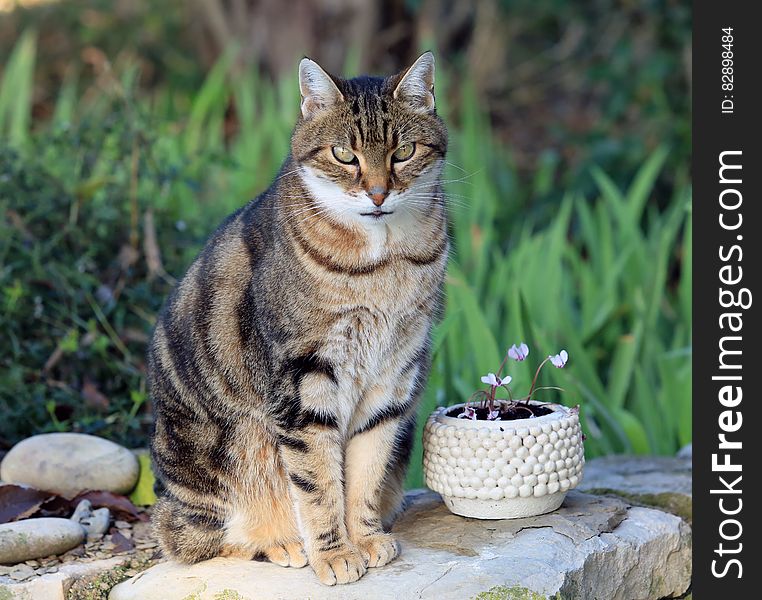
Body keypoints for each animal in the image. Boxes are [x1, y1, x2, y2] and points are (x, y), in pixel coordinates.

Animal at [147, 51, 446, 584]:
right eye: (344, 154)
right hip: (222, 461)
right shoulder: (304, 381)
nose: (377, 194)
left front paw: (365, 538)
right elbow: (318, 481)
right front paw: (334, 553)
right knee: (191, 538)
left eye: (404, 151)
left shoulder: (393, 378)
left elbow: (365, 472)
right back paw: (281, 542)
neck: (383, 264)